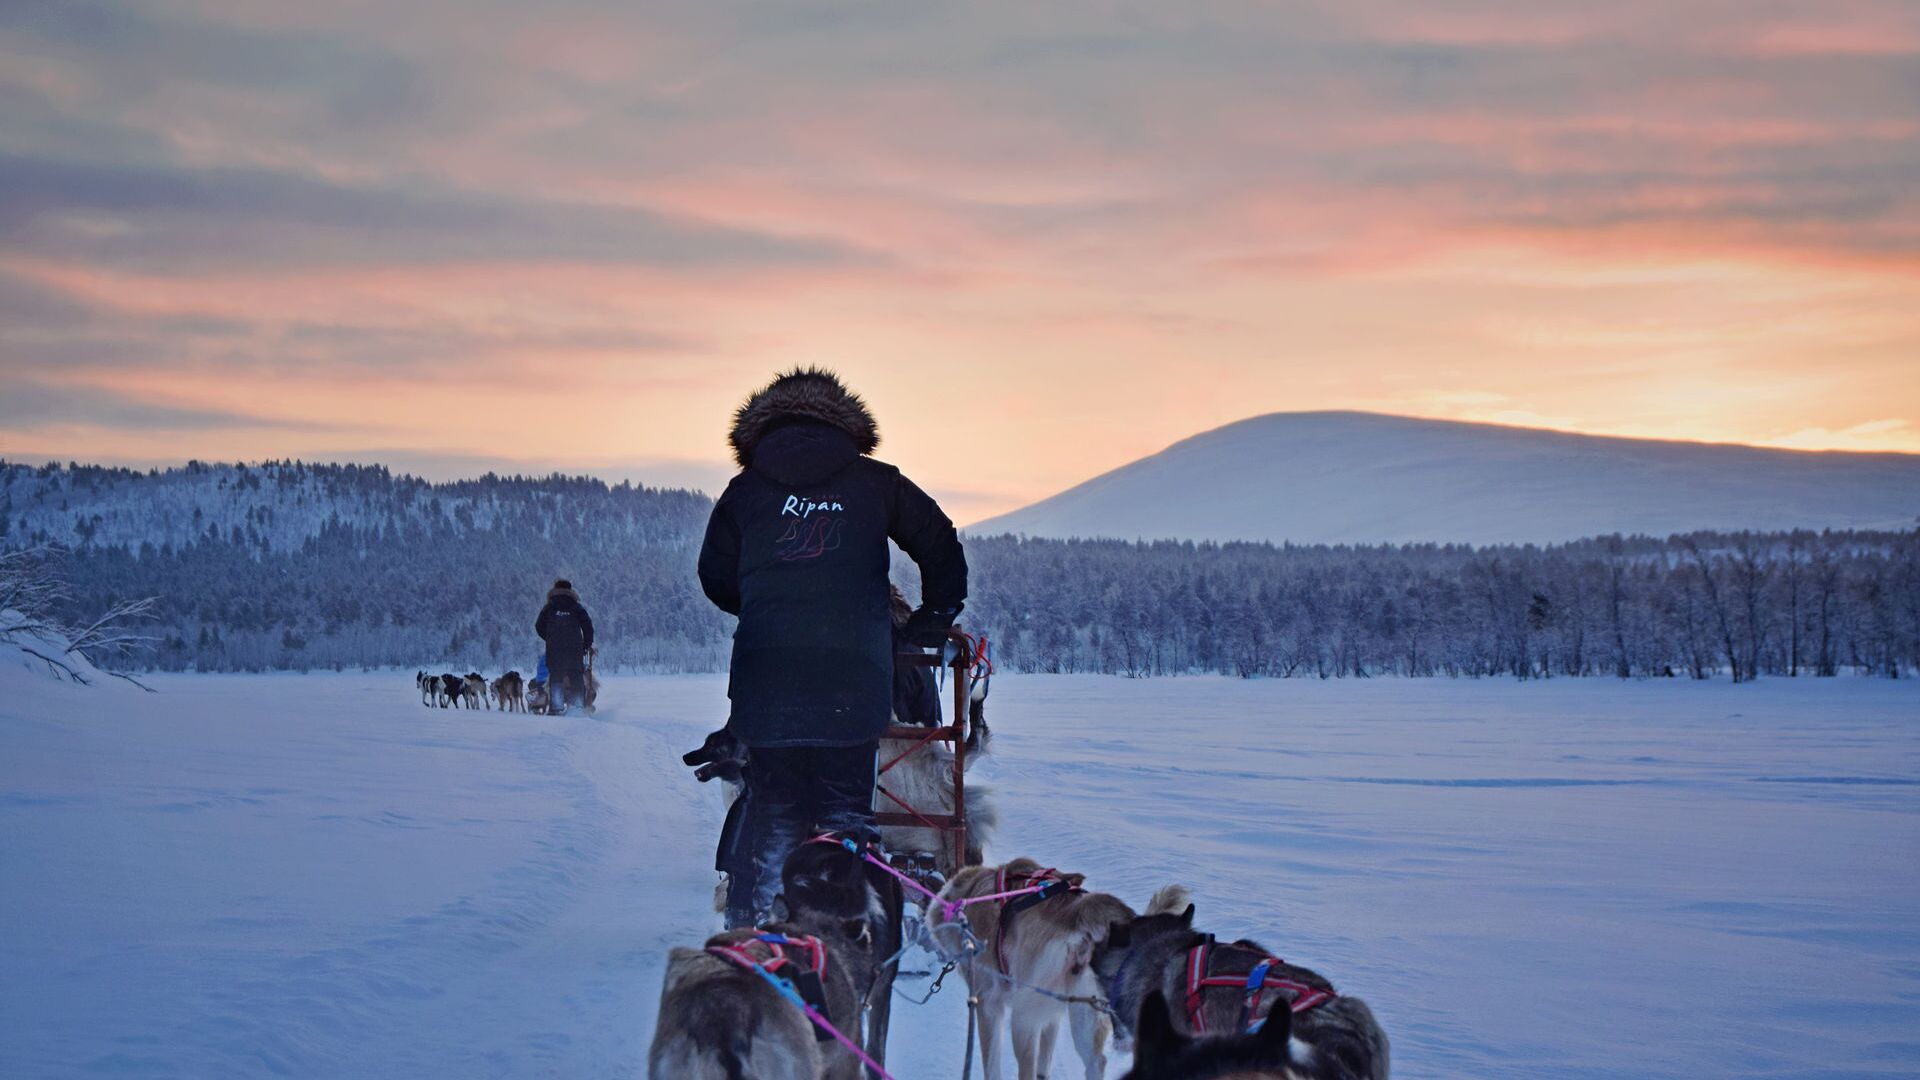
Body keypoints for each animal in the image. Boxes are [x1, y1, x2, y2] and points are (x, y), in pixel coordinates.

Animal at [933, 857, 1136, 1076]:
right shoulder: (1050, 1014)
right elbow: (1044, 1061)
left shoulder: (987, 1003)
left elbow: (992, 1065)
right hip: (1085, 1014)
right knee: (1096, 1061)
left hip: (1022, 1019)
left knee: (1027, 1065)